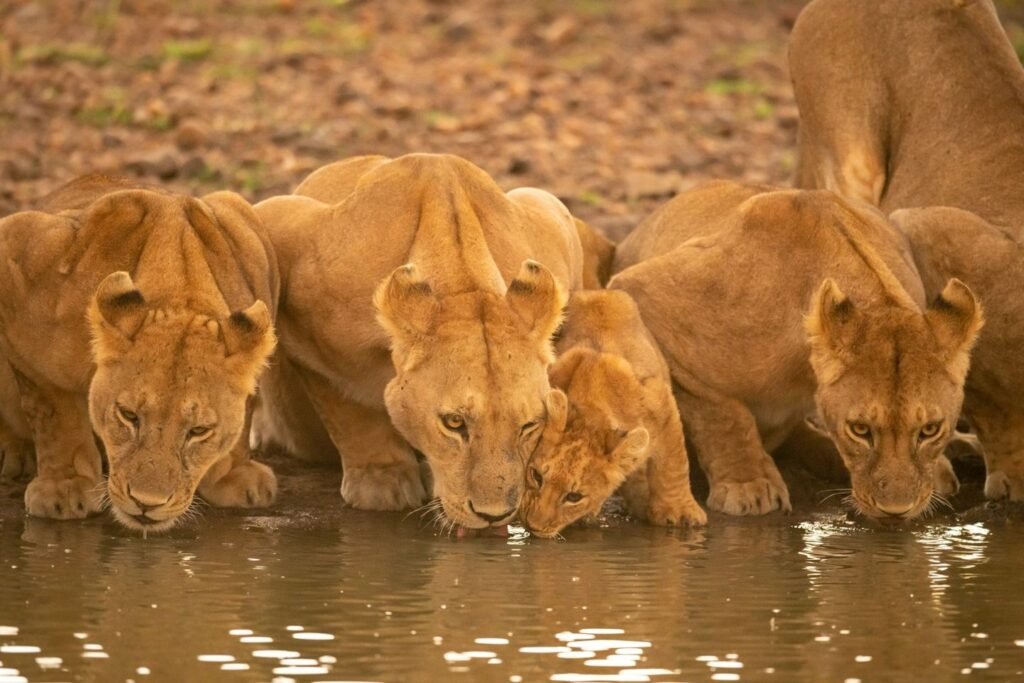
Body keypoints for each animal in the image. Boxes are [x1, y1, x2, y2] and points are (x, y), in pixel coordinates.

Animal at [0, 174, 279, 531]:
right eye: (128, 415)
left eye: (198, 431)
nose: (147, 504)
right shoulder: (18, 254)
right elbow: (52, 410)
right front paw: (64, 485)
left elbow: (245, 411)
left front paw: (233, 472)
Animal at [251, 154, 585, 529]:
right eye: (454, 423)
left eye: (528, 425)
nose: (494, 515)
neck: (462, 282)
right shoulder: (286, 229)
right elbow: (346, 406)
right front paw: (382, 480)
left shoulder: (551, 214)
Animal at [520, 290, 707, 538]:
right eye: (537, 476)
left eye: (574, 496)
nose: (533, 526)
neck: (592, 409)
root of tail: (599, 291)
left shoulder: (661, 404)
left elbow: (673, 465)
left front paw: (681, 512)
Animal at [610, 181, 982, 520]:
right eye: (860, 429)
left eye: (930, 429)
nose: (896, 512)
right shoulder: (642, 292)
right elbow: (722, 412)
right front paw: (749, 484)